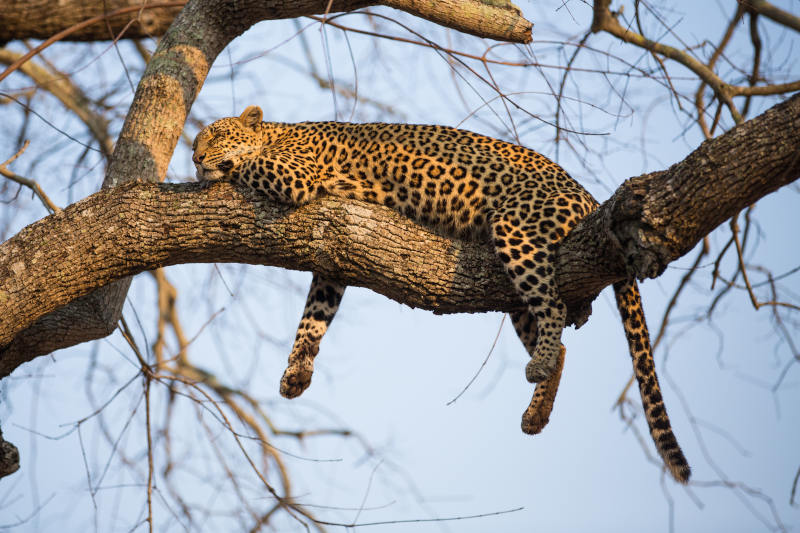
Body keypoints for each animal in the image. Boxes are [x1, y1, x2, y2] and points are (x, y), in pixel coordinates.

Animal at [195, 104, 692, 482]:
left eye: (215, 135)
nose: (196, 157)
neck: (278, 132)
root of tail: (590, 199)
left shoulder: (295, 174)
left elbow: (249, 166)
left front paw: (220, 170)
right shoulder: (334, 252)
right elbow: (315, 315)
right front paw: (298, 371)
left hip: (517, 230)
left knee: (551, 306)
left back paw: (541, 365)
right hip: (515, 293)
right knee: (560, 339)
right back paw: (537, 410)